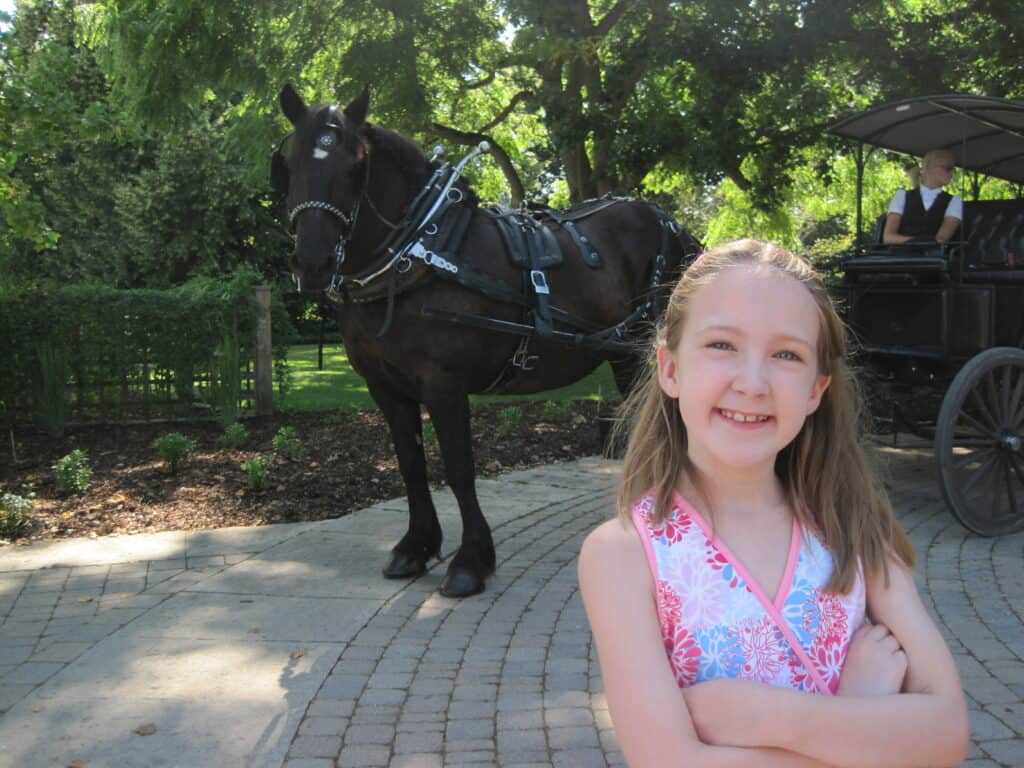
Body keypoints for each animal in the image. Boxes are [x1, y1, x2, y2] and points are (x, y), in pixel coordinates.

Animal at [272, 85, 700, 602]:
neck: (417, 251)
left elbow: (459, 467)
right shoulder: (385, 387)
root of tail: (671, 224)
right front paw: (416, 546)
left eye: (356, 166)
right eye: (289, 163)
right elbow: (410, 464)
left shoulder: (444, 383)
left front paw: (470, 561)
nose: (312, 262)